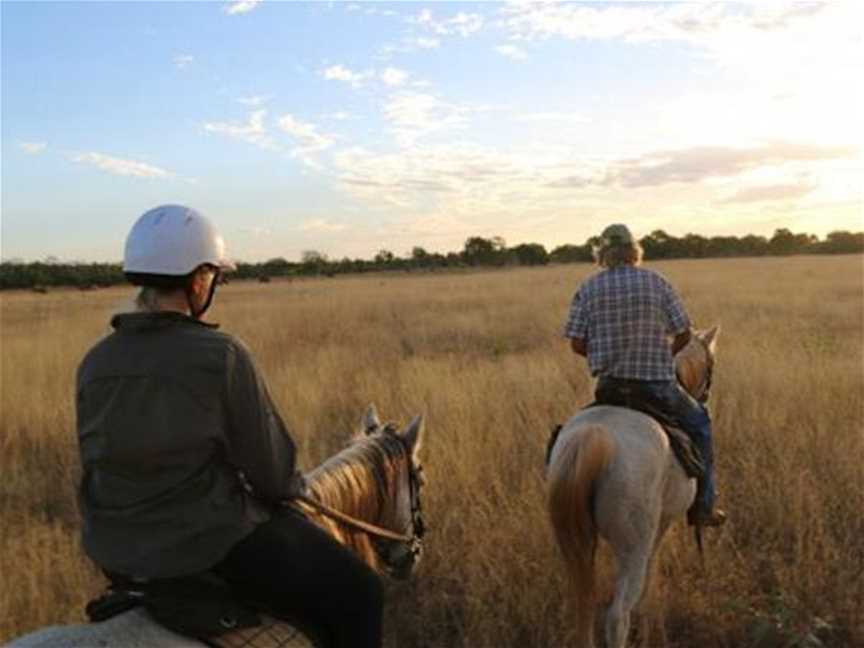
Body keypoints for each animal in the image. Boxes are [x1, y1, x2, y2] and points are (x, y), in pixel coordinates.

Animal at [548, 330, 724, 648]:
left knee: (582, 605)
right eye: (711, 365)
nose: (705, 396)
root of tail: (593, 436)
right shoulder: (660, 527)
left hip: (573, 542)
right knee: (617, 616)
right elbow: (652, 574)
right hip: (632, 546)